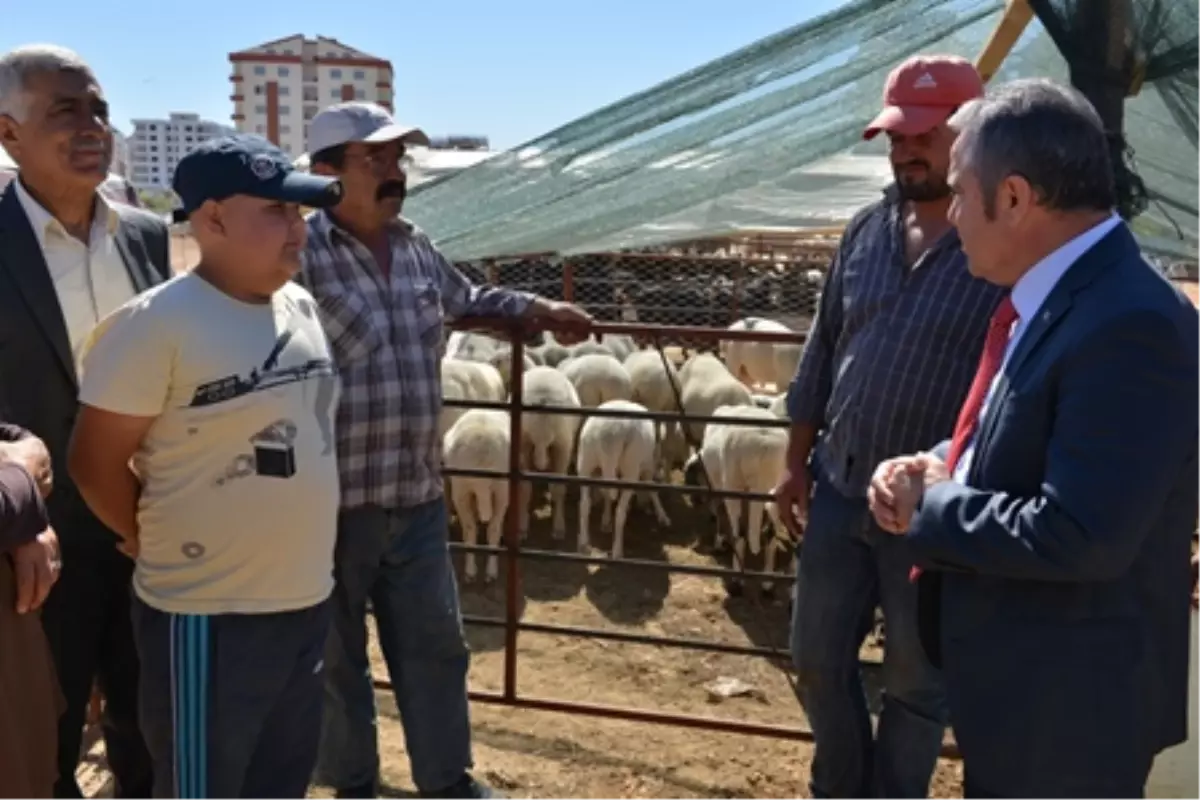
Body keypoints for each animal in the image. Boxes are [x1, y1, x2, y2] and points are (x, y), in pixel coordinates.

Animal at [444, 412, 513, 582]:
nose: (485, 516)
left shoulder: (501, 493)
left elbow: (491, 530)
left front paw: (489, 571)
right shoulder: (461, 494)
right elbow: (470, 530)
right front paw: (470, 571)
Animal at [516, 367, 580, 542]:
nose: (540, 466)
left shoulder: (563, 447)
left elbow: (558, 489)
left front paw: (559, 527)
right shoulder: (524, 445)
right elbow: (525, 489)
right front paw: (522, 527)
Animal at [576, 398, 672, 561]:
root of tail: (611, 434)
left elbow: (607, 495)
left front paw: (605, 520)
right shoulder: (646, 467)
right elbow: (652, 489)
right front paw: (663, 516)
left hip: (586, 461)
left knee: (584, 504)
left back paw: (583, 542)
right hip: (631, 466)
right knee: (620, 512)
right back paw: (617, 551)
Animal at [691, 407, 792, 594]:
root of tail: (765, 442)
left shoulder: (720, 486)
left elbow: (721, 512)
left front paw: (719, 543)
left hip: (734, 483)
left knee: (739, 531)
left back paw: (737, 581)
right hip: (777, 485)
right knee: (770, 531)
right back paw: (767, 584)